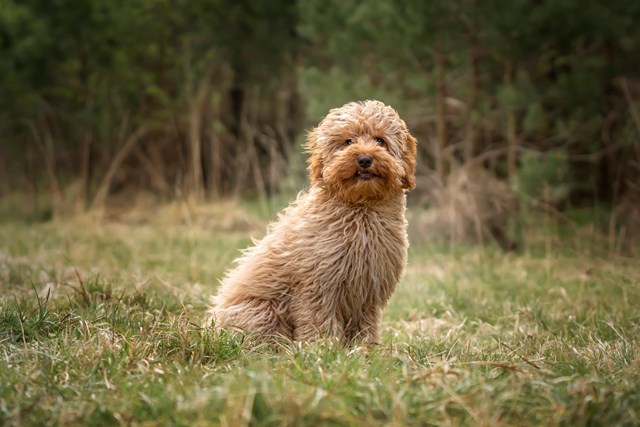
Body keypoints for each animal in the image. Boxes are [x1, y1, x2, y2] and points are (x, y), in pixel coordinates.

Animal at [204, 101, 416, 348]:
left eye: (380, 140)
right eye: (348, 141)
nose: (364, 159)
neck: (360, 210)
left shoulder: (368, 292)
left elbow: (365, 324)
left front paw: (363, 348)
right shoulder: (317, 285)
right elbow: (318, 320)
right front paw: (322, 347)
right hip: (262, 310)